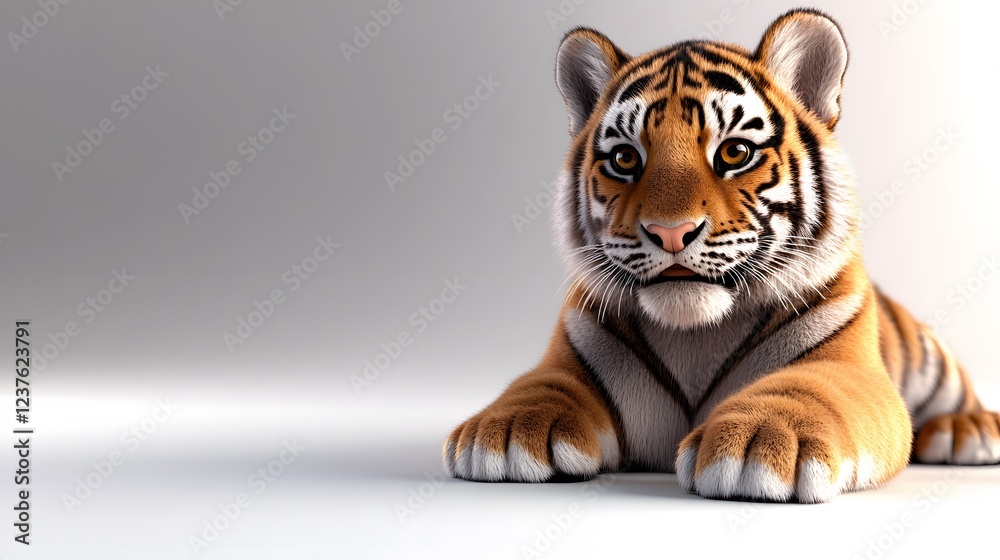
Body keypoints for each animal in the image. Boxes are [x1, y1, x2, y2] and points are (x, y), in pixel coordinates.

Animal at [442, 8, 1000, 502]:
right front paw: (506, 431)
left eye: (734, 152)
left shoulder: (844, 364)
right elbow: (542, 385)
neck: (694, 337)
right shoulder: (574, 355)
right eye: (625, 158)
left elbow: (809, 389)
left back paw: (967, 430)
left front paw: (761, 441)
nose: (670, 233)